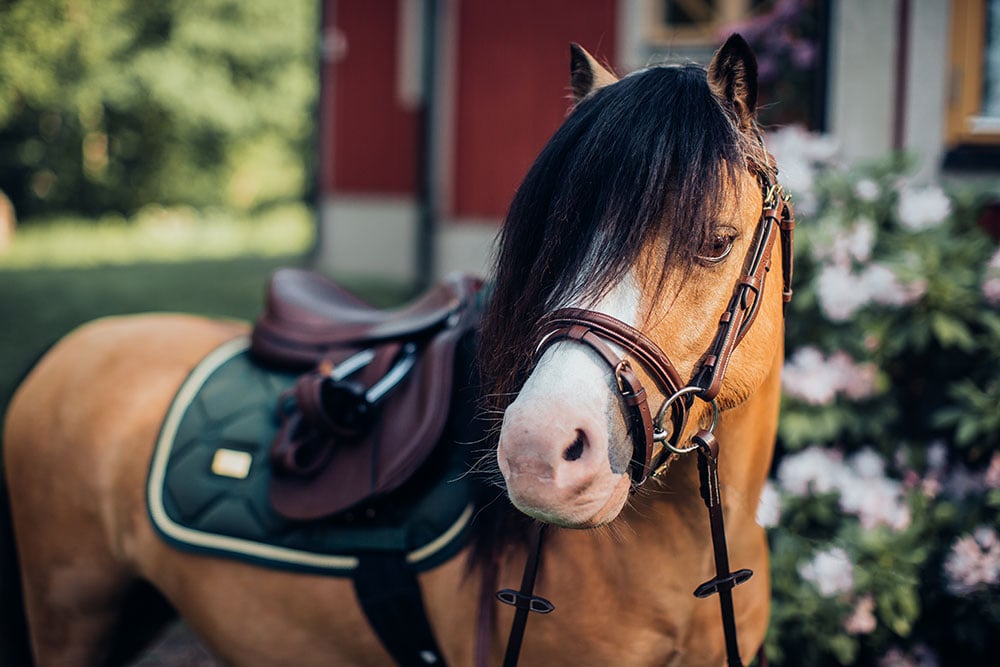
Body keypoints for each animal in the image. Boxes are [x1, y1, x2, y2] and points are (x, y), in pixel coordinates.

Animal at [1, 34, 792, 666]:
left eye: (716, 241)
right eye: (553, 239)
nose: (537, 453)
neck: (672, 555)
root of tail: (69, 347)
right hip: (70, 620)